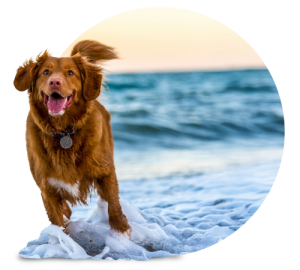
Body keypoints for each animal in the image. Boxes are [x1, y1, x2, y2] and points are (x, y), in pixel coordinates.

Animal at [12, 39, 131, 238]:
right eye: (46, 72)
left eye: (70, 73)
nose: (55, 82)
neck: (64, 131)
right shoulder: (47, 190)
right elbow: (59, 222)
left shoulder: (105, 171)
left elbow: (113, 204)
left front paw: (121, 231)